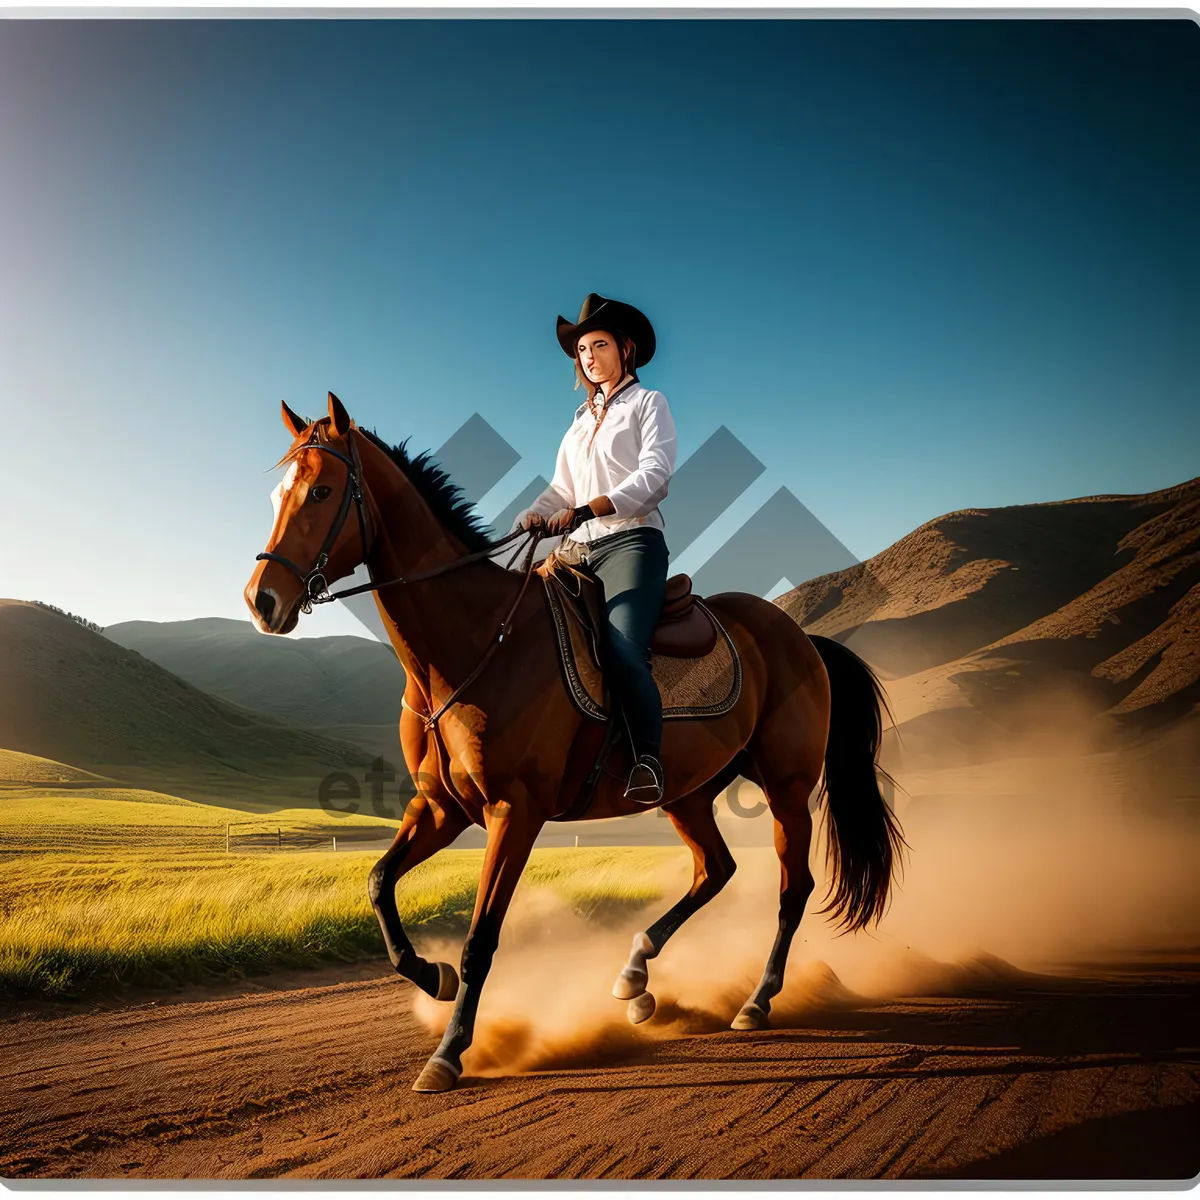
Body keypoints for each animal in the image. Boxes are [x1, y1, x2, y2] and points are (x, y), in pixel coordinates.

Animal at [243, 396, 902, 1099]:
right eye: (278, 493)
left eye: (321, 491)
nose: (262, 600)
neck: (476, 642)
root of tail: (801, 637)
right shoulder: (441, 808)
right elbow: (377, 884)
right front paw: (432, 977)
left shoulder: (515, 812)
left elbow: (481, 937)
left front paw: (449, 1052)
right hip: (686, 793)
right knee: (716, 869)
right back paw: (636, 979)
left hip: (786, 786)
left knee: (792, 886)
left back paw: (756, 1001)